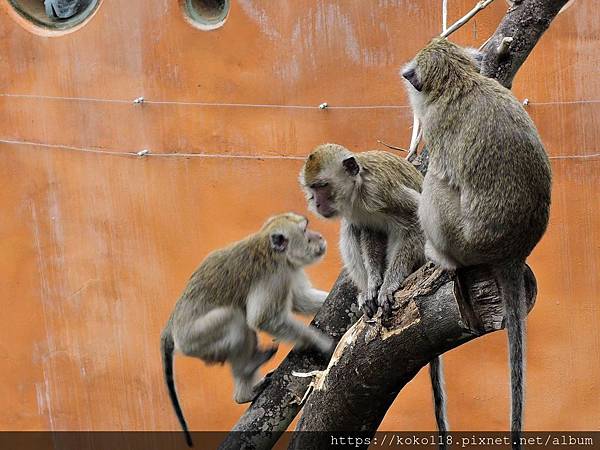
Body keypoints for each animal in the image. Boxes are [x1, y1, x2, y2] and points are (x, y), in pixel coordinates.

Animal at [161, 214, 332, 446]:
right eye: (305, 231)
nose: (319, 236)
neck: (273, 251)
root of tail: (171, 325)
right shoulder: (275, 276)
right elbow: (263, 319)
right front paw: (320, 342)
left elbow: (301, 300)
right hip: (193, 339)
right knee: (237, 321)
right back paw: (245, 389)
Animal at [300, 144, 450, 432]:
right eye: (312, 189)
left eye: (322, 186)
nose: (316, 202)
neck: (357, 191)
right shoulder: (358, 213)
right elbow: (367, 232)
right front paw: (373, 285)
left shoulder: (381, 191)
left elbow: (415, 220)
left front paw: (388, 286)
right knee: (351, 230)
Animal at [400, 37, 552, 446]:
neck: (461, 82)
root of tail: (515, 252)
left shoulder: (436, 124)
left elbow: (436, 173)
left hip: (464, 239)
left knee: (437, 186)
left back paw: (442, 258)